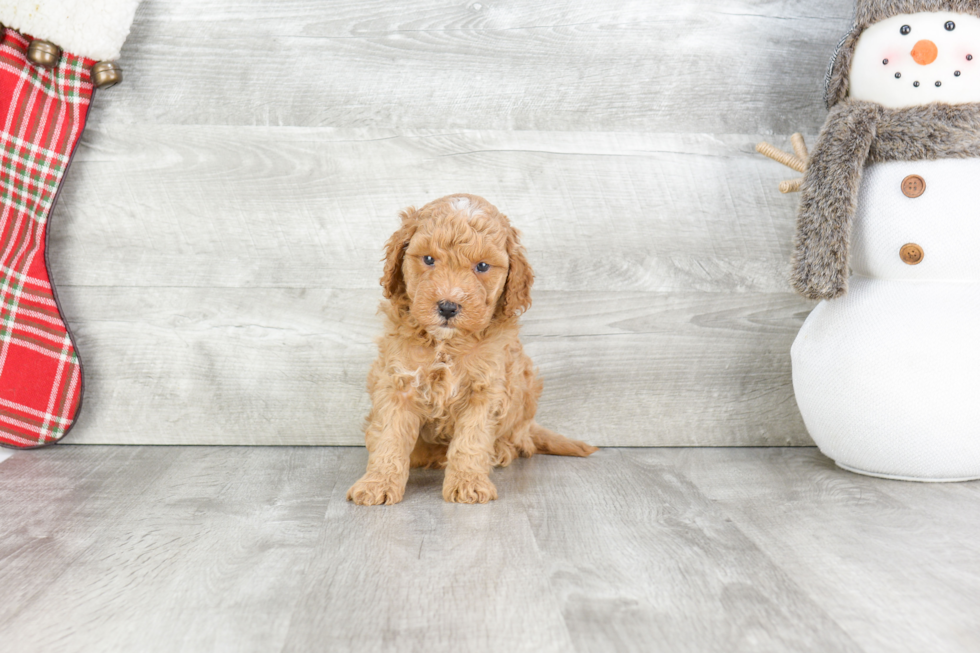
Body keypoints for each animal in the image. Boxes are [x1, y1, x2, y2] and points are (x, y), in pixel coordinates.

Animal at [348, 192, 600, 504]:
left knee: (520, 440)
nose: (447, 306)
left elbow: (472, 439)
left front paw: (467, 482)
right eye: (428, 259)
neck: (446, 344)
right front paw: (378, 483)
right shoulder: (399, 382)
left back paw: (501, 450)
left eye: (482, 266)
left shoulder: (485, 389)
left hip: (525, 390)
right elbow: (389, 436)